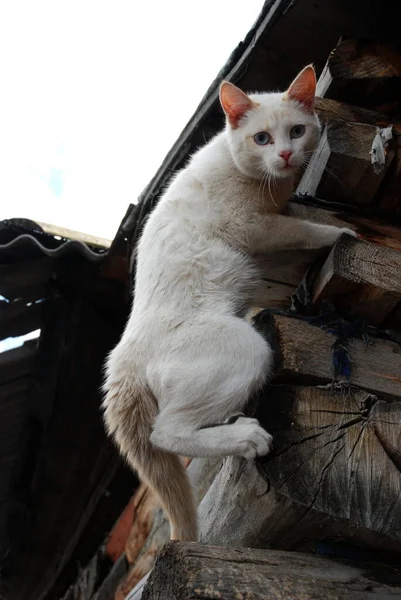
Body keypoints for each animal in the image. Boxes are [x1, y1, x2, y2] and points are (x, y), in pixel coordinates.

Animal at [102, 67, 354, 544]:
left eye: (297, 131)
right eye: (261, 138)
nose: (286, 153)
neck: (267, 185)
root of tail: (122, 359)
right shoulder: (253, 225)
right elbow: (301, 230)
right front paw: (343, 233)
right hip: (247, 349)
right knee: (167, 432)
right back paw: (245, 438)